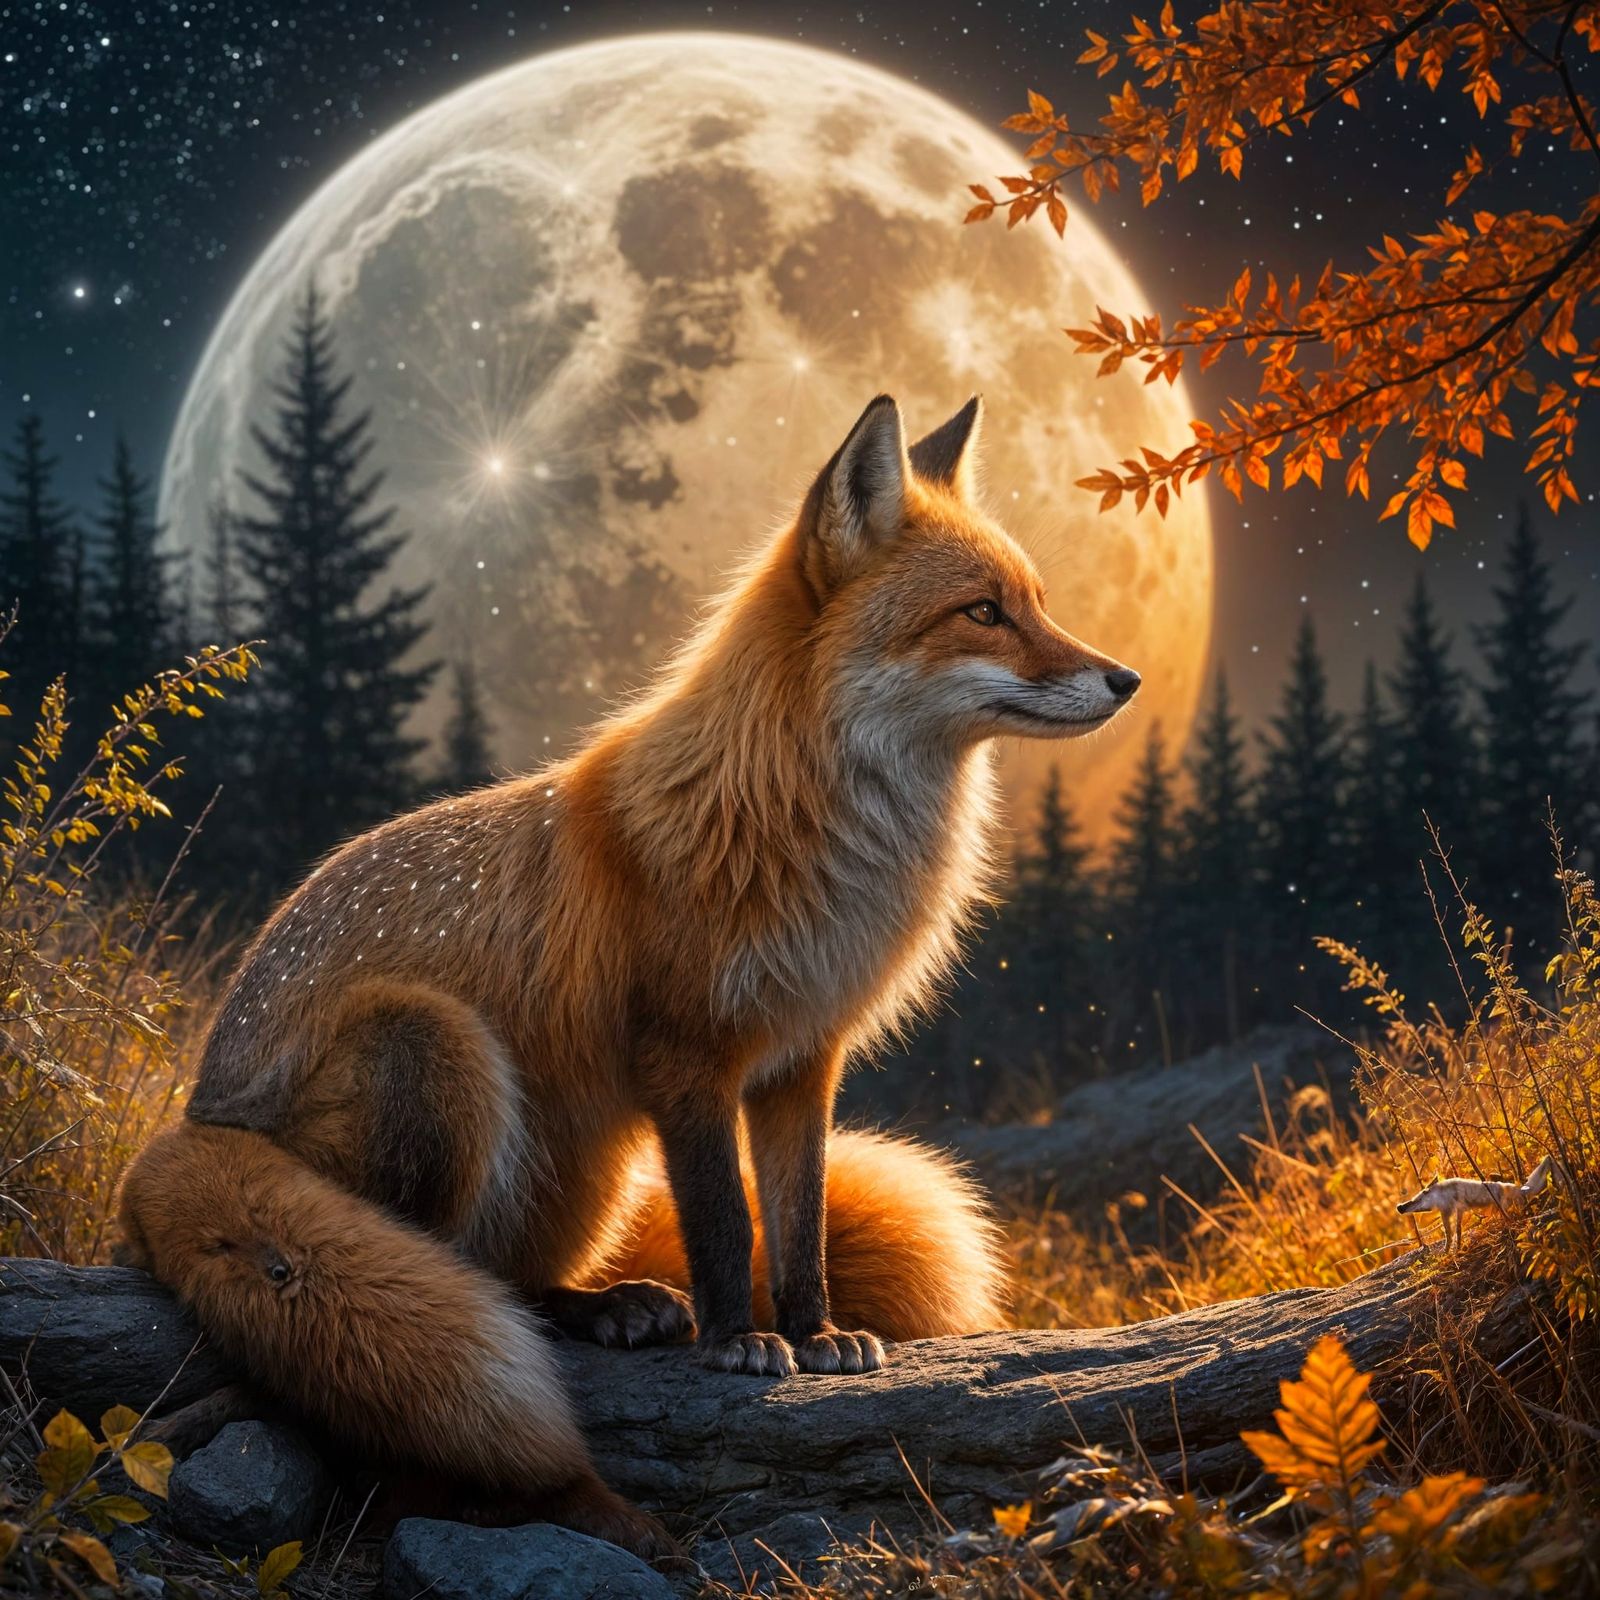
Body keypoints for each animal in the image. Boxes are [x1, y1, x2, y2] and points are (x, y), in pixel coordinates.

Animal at [116, 393, 1142, 1559]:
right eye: (981, 613)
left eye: (1036, 603)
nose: (1126, 679)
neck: (800, 828)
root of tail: (194, 1116)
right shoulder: (685, 1052)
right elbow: (724, 1220)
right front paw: (742, 1344)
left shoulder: (801, 1060)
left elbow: (796, 1222)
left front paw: (816, 1334)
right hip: (436, 1045)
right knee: (431, 1268)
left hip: (589, 1162)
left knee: (507, 1273)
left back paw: (606, 1307)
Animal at [1395, 1155, 1552, 1251]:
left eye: (1418, 1199)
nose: (1400, 1207)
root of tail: (1518, 1188)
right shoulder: (1459, 1210)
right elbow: (1458, 1232)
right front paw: (1457, 1249)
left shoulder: (1448, 1211)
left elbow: (1449, 1235)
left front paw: (1448, 1253)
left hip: (1505, 1206)